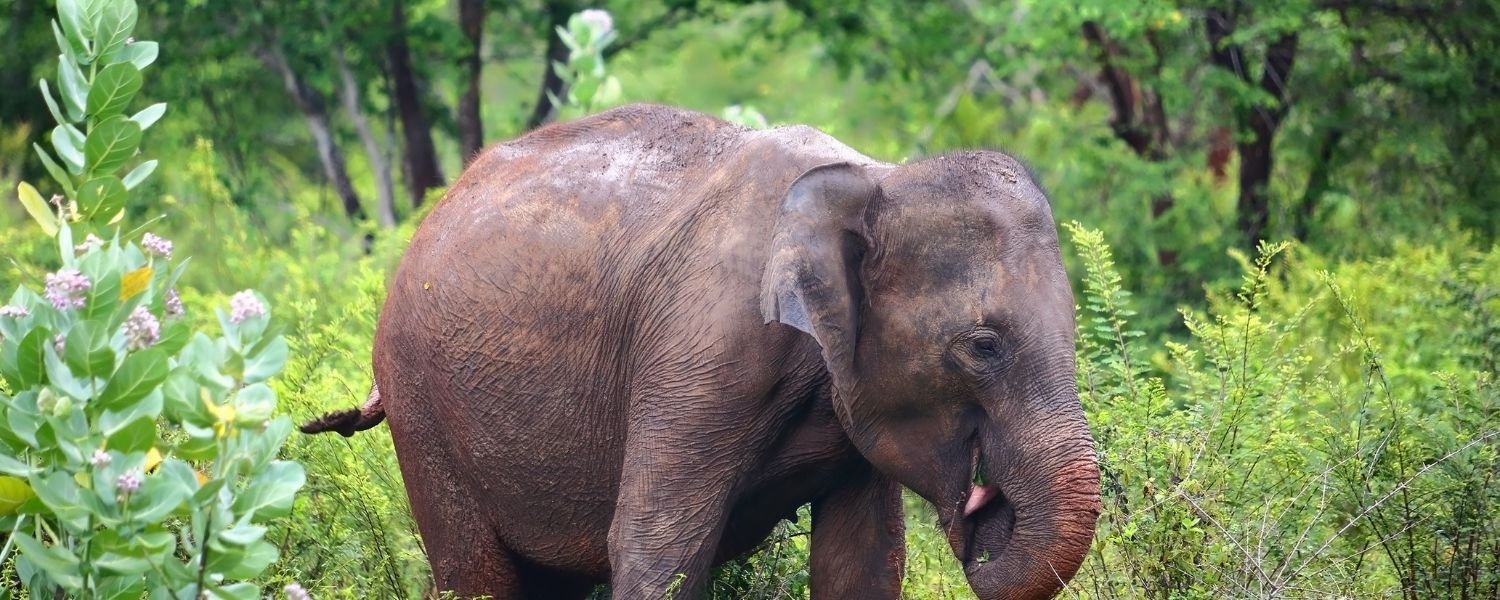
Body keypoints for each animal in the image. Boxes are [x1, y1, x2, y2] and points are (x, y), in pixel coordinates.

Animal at [304, 104, 1104, 600]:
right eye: (983, 346)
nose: (982, 514)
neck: (875, 176)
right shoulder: (703, 351)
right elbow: (656, 548)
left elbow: (864, 563)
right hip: (421, 406)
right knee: (476, 574)